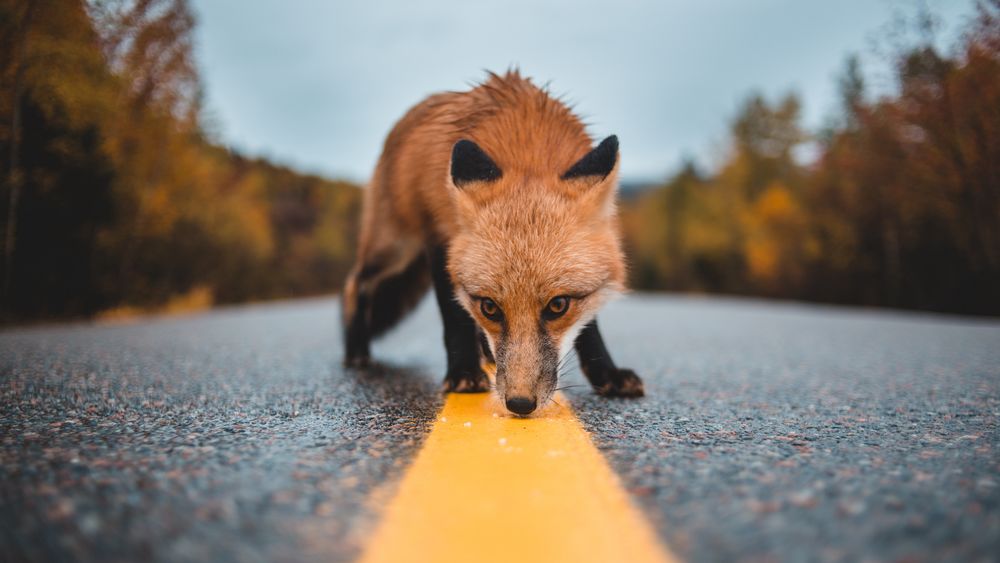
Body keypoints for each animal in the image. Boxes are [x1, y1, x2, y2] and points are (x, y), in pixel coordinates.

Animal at [340, 69, 644, 414]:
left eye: (558, 306)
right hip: (395, 247)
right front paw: (462, 373)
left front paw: (606, 373)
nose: (520, 403)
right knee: (355, 283)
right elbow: (454, 316)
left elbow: (589, 326)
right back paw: (356, 349)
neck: (527, 146)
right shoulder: (440, 240)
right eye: (490, 307)